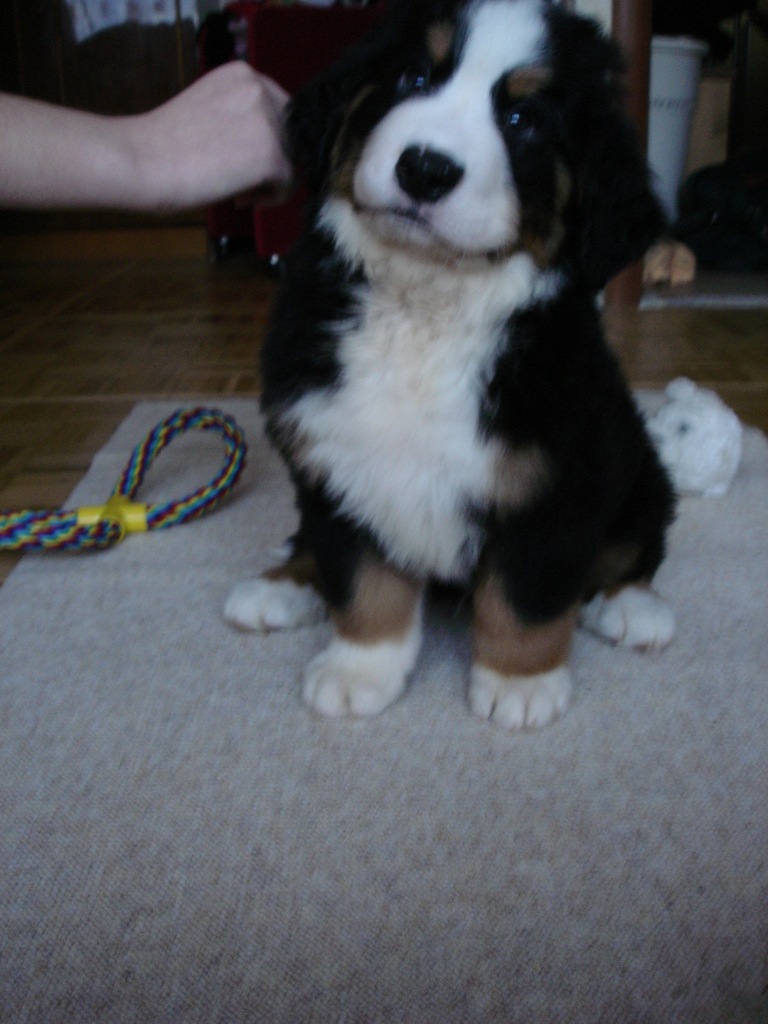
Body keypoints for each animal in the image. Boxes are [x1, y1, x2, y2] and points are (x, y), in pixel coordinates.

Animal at [225, 0, 676, 731]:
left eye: (523, 120)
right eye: (413, 77)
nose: (427, 169)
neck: (426, 304)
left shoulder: (554, 480)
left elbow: (524, 596)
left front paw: (520, 682)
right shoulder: (340, 460)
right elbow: (361, 580)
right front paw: (360, 669)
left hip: (638, 468)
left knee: (637, 546)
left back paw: (633, 606)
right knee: (310, 542)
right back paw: (282, 584)